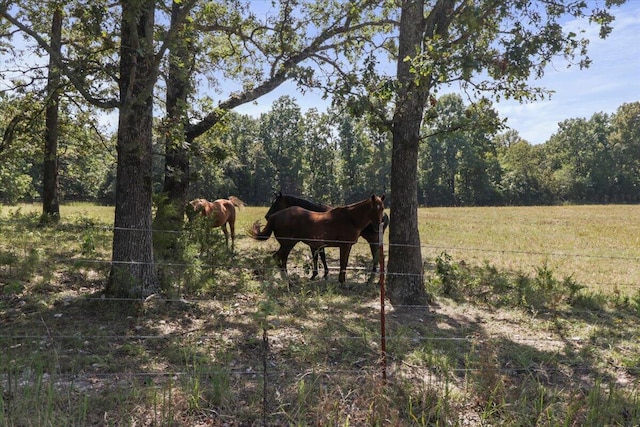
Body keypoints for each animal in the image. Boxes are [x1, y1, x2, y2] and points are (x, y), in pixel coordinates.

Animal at [249, 195, 384, 284]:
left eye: (382, 208)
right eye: (374, 209)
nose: (378, 226)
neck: (350, 218)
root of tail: (275, 216)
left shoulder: (340, 246)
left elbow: (341, 263)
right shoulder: (343, 246)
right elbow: (342, 263)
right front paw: (341, 282)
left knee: (281, 259)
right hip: (288, 244)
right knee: (278, 257)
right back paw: (286, 280)